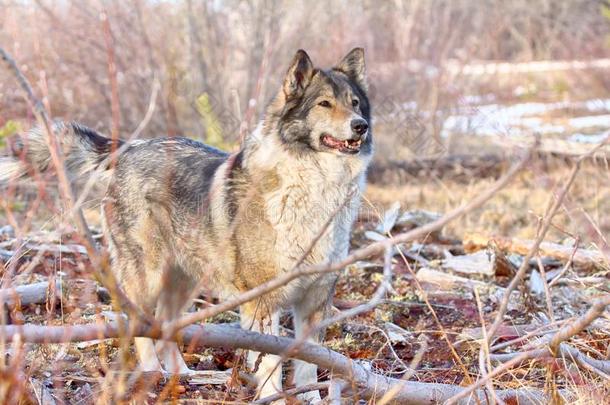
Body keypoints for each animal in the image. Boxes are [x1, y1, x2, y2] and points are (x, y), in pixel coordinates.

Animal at [1, 48, 370, 400]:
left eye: (354, 103)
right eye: (324, 104)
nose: (361, 125)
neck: (316, 188)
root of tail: (130, 147)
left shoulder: (315, 302)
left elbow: (309, 367)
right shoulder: (262, 303)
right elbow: (270, 367)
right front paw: (275, 398)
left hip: (185, 281)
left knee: (167, 325)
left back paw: (184, 375)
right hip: (148, 277)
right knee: (141, 325)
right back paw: (154, 373)